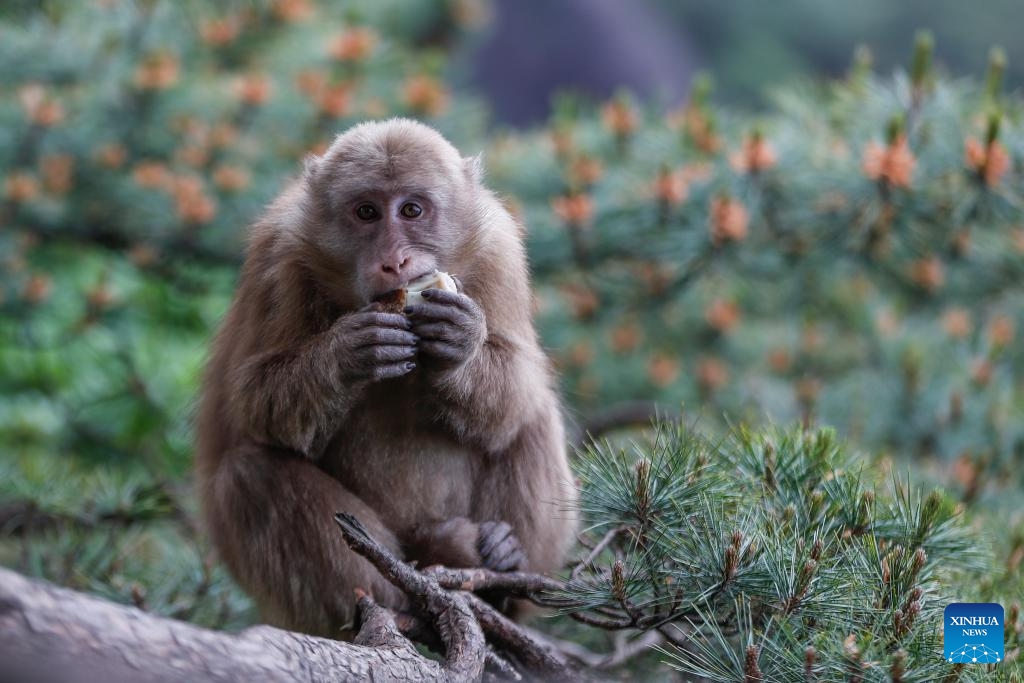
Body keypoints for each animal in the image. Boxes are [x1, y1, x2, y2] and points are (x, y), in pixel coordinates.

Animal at [195, 118, 578, 637]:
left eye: (411, 210)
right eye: (367, 212)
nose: (394, 261)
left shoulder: (499, 251)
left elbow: (516, 389)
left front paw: (458, 348)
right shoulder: (278, 258)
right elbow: (256, 404)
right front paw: (347, 355)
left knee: (529, 418)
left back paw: (500, 573)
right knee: (250, 474)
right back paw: (401, 603)